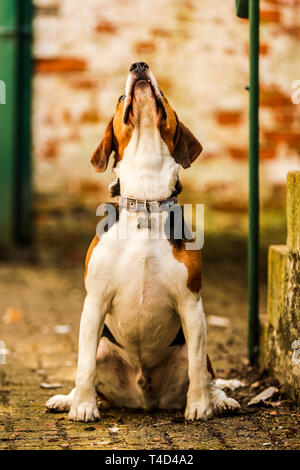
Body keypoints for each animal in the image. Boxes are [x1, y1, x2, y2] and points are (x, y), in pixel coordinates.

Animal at [46, 63, 239, 422]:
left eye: (164, 94)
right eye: (121, 98)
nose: (139, 65)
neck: (146, 201)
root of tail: (143, 399)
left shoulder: (191, 304)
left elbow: (197, 367)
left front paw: (200, 406)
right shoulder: (95, 301)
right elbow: (83, 366)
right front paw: (83, 406)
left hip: (191, 343)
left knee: (206, 371)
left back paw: (219, 400)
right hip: (104, 347)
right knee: (88, 364)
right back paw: (68, 399)